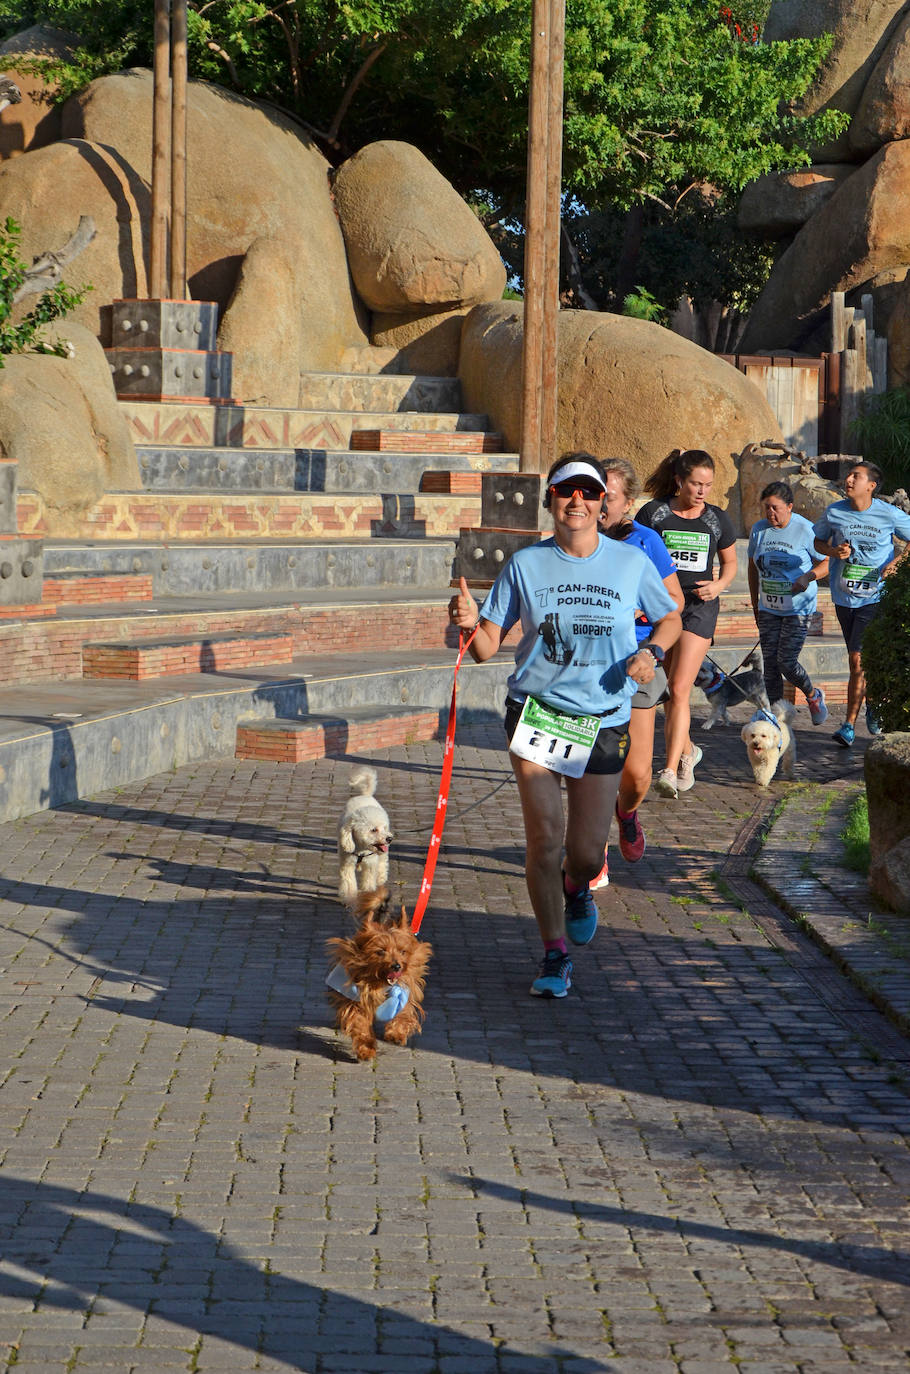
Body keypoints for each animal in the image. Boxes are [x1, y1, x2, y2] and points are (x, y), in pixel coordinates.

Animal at [325, 884, 434, 1066]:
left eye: (403, 951)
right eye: (381, 951)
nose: (396, 966)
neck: (381, 983)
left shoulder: (403, 991)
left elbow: (403, 1013)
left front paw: (396, 1033)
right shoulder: (357, 1001)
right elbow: (360, 1025)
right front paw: (366, 1050)